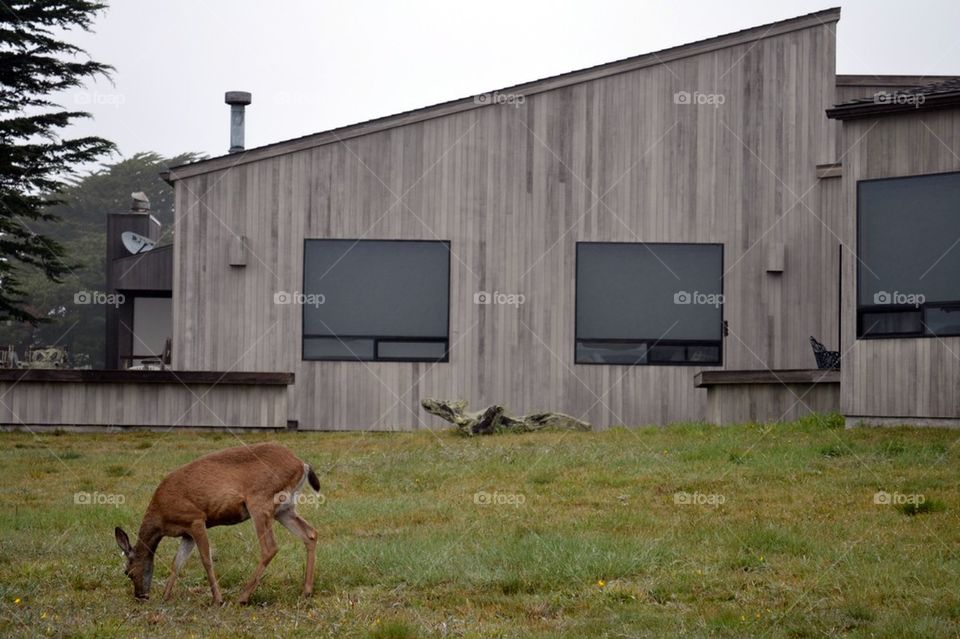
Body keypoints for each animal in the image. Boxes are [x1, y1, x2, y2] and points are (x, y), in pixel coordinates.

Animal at [114, 442, 320, 605]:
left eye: (128, 572)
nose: (140, 596)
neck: (161, 517)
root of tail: (302, 464)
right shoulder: (186, 533)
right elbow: (177, 563)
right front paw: (165, 597)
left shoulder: (196, 518)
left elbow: (206, 559)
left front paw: (218, 599)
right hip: (284, 509)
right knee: (310, 533)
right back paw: (306, 592)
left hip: (260, 501)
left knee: (270, 547)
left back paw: (242, 597)